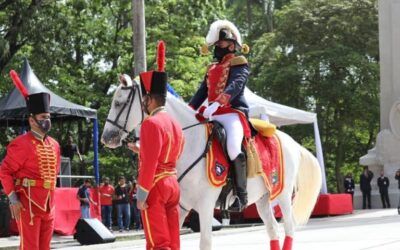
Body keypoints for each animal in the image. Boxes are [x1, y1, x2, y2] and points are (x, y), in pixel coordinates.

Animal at [101, 76, 322, 250]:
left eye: (119, 103)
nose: (106, 138)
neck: (189, 141)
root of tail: (292, 142)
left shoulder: (206, 205)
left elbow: (205, 242)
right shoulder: (180, 206)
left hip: (283, 194)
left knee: (289, 227)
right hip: (263, 199)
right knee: (273, 229)